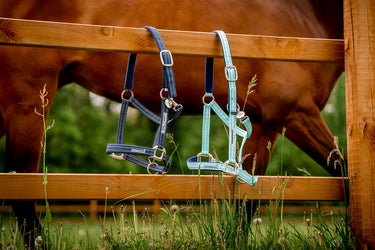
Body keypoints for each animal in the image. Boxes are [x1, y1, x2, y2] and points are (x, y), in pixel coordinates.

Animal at [1, 0, 346, 241]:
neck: (307, 12)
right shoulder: (294, 111)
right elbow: (341, 168)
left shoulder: (264, 125)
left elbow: (246, 201)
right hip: (26, 102)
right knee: (23, 196)